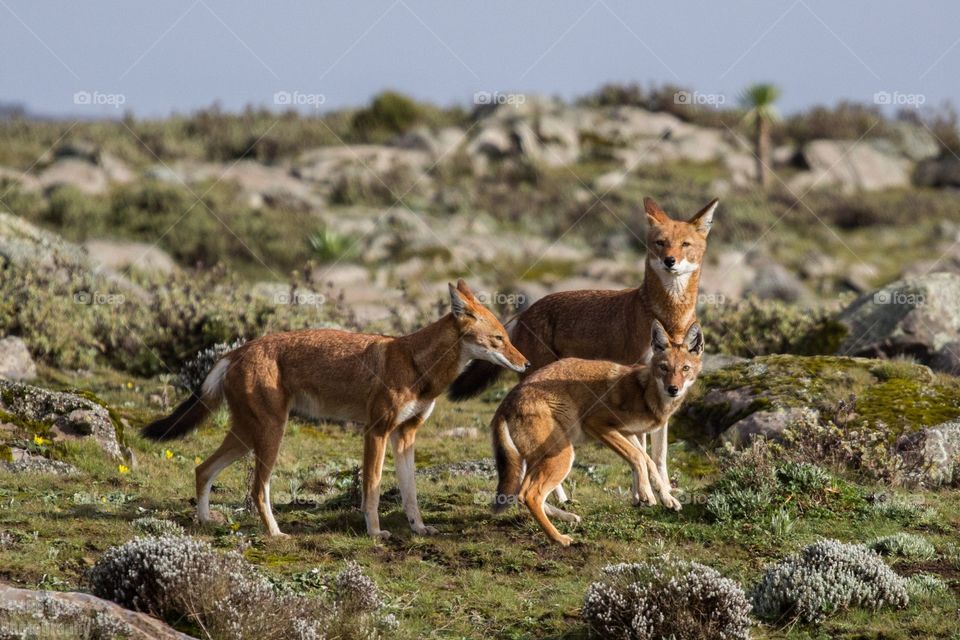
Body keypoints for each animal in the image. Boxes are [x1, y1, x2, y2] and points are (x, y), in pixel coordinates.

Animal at [143, 282, 528, 536]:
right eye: (499, 339)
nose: (525, 364)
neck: (417, 365)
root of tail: (235, 351)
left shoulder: (405, 436)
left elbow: (411, 493)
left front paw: (419, 528)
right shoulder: (376, 431)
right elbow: (372, 487)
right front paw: (375, 533)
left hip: (246, 437)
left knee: (202, 469)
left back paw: (206, 522)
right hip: (269, 436)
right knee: (256, 490)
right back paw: (276, 534)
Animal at [492, 320, 700, 544]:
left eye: (685, 368)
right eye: (664, 368)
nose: (673, 389)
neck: (645, 392)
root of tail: (506, 401)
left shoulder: (627, 432)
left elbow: (648, 461)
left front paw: (666, 498)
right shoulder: (597, 423)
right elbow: (638, 458)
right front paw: (646, 494)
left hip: (540, 461)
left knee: (522, 494)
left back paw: (568, 517)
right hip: (562, 456)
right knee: (531, 495)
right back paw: (559, 538)